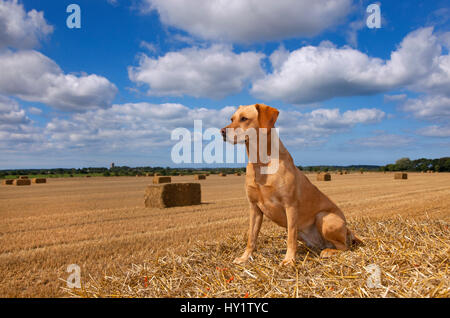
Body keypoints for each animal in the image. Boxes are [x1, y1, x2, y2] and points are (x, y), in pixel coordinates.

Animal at [221, 103, 362, 264]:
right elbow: (251, 237)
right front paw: (245, 257)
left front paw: (289, 260)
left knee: (344, 247)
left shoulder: (290, 206)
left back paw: (328, 252)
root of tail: (348, 231)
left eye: (244, 118)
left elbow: (290, 238)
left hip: (325, 217)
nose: (222, 132)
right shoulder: (254, 208)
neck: (261, 163)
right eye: (231, 119)